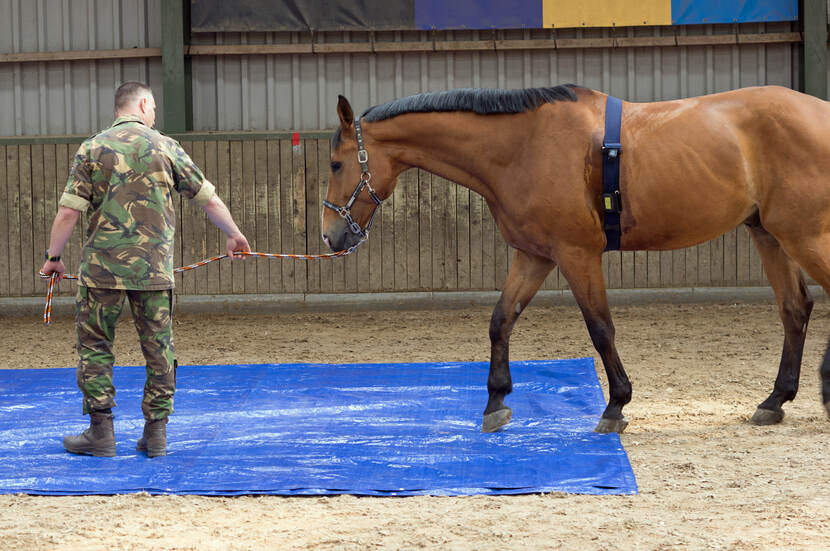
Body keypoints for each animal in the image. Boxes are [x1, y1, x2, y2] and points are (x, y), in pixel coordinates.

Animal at [321, 84, 830, 434]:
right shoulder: (533, 256)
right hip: (769, 234)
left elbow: (600, 327)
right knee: (795, 308)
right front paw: (495, 402)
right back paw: (775, 400)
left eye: (335, 163)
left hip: (804, 234)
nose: (330, 235)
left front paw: (616, 405)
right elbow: (501, 320)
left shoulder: (577, 254)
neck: (523, 146)